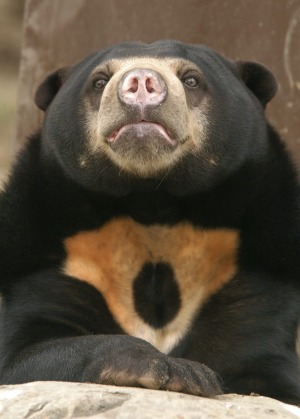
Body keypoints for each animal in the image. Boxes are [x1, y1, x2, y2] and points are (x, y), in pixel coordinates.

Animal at [0, 41, 300, 406]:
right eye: (100, 81)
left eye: (191, 79)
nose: (141, 81)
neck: (153, 206)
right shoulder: (54, 257)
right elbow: (27, 353)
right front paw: (179, 370)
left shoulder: (255, 267)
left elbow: (261, 360)